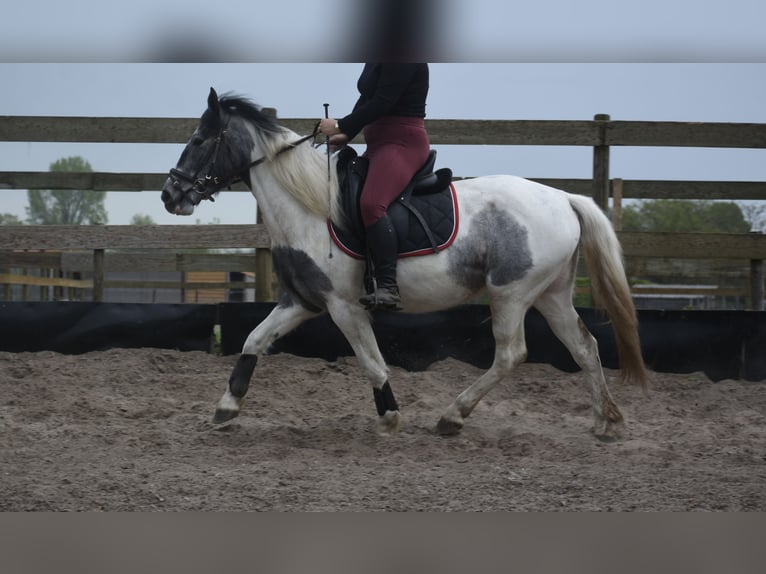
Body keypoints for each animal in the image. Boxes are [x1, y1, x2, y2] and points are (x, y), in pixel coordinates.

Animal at [162, 88, 648, 440]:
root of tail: (564, 198)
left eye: (199, 140)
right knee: (584, 347)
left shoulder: (345, 307)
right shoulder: (302, 302)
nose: (171, 195)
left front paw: (390, 417)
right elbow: (254, 340)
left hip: (510, 293)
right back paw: (605, 422)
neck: (310, 208)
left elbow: (372, 362)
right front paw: (227, 406)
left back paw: (453, 416)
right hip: (550, 294)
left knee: (512, 354)